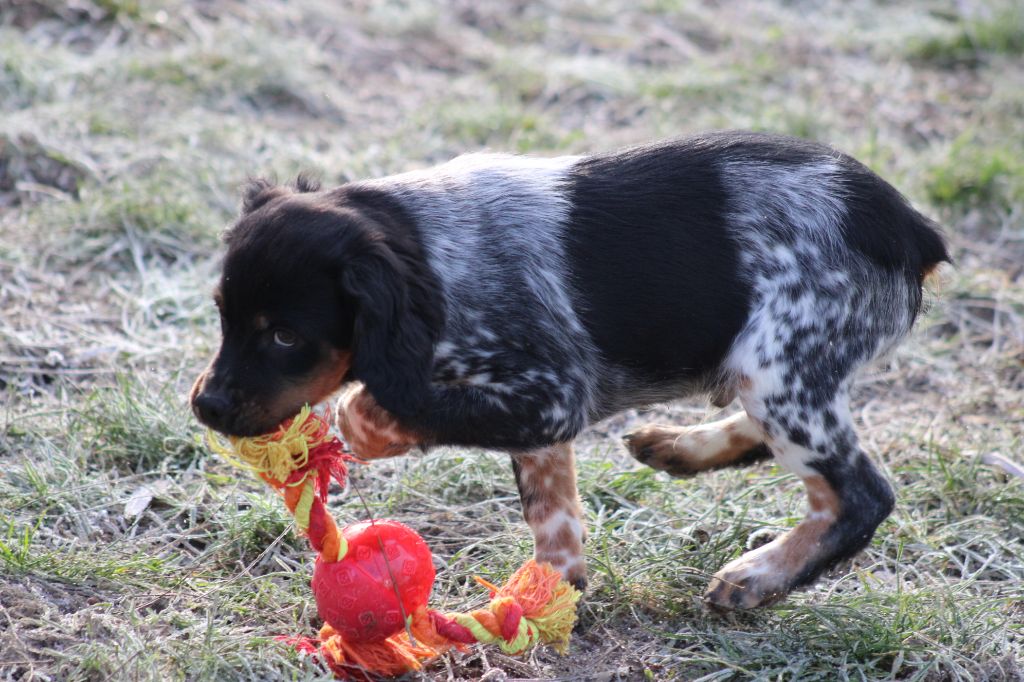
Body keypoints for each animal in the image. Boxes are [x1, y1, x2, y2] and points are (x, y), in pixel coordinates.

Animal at [191, 131, 948, 609]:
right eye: (222, 313)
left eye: (285, 335)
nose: (205, 406)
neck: (434, 249)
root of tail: (909, 226)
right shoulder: (540, 419)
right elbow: (551, 511)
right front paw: (548, 596)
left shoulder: (553, 395)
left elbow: (382, 407)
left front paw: (367, 425)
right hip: (771, 373)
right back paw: (684, 448)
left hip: (782, 369)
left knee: (859, 496)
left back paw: (759, 575)